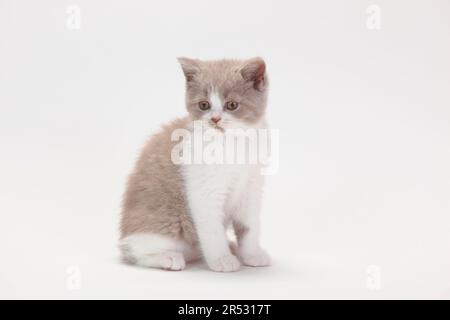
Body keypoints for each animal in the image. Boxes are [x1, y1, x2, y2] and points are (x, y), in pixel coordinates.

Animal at [118, 56, 270, 272]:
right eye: (204, 105)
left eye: (232, 105)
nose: (215, 119)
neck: (232, 143)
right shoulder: (204, 191)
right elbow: (212, 227)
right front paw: (222, 259)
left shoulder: (251, 187)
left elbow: (249, 226)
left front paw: (252, 254)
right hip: (165, 226)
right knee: (134, 250)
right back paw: (168, 258)